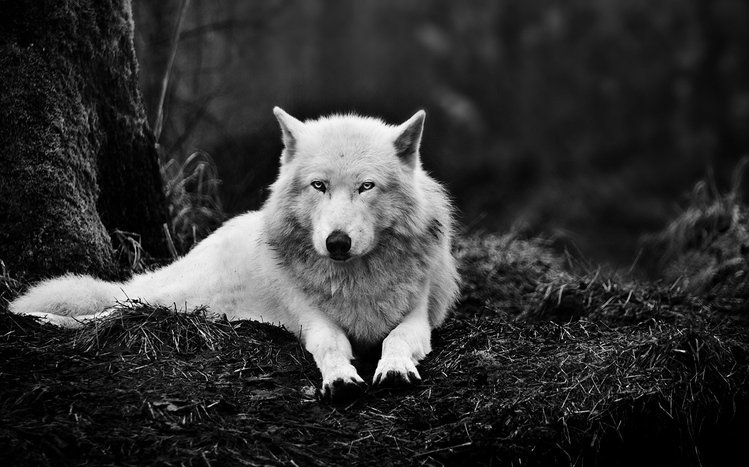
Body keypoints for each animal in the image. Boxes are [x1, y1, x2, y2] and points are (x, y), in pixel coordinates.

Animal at [9, 107, 460, 400]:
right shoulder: (313, 321)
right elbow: (332, 345)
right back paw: (36, 318)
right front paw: (339, 379)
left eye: (367, 186)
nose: (337, 242)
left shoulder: (418, 318)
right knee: (110, 308)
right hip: (172, 298)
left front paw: (395, 368)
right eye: (319, 186)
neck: (355, 279)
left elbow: (396, 339)